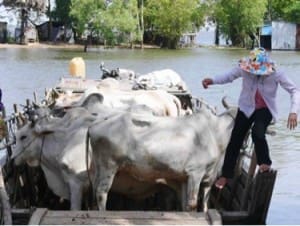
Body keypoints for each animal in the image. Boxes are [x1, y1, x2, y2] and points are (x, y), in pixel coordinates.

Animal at [89, 99, 237, 212]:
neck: (215, 133)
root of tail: (95, 124)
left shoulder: (189, 178)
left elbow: (189, 204)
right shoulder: (195, 173)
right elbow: (192, 204)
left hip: (99, 167)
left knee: (94, 187)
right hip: (109, 166)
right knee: (101, 192)